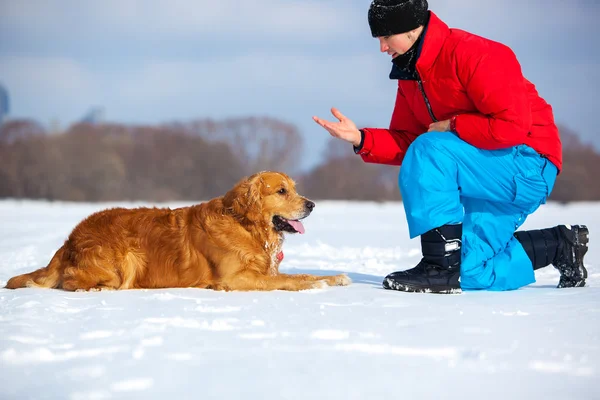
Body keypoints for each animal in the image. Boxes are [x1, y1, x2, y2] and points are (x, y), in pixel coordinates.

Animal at [4, 171, 352, 290]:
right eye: (281, 191)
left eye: (294, 188)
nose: (312, 205)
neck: (246, 226)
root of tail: (70, 239)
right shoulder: (235, 279)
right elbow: (289, 281)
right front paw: (315, 285)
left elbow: (297, 274)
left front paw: (334, 277)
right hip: (125, 261)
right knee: (73, 283)